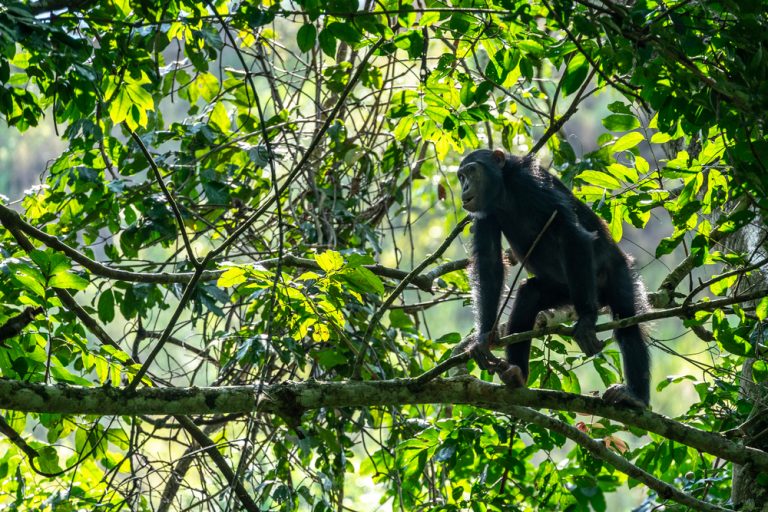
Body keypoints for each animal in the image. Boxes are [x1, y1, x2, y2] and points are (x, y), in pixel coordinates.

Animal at [460, 148, 652, 408]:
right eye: (460, 176)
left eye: (471, 171)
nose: (464, 186)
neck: (504, 190)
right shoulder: (484, 214)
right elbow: (489, 262)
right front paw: (482, 338)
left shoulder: (533, 184)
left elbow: (571, 234)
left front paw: (587, 322)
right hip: (563, 291)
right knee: (528, 297)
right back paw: (516, 374)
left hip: (616, 273)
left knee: (628, 323)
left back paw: (635, 396)